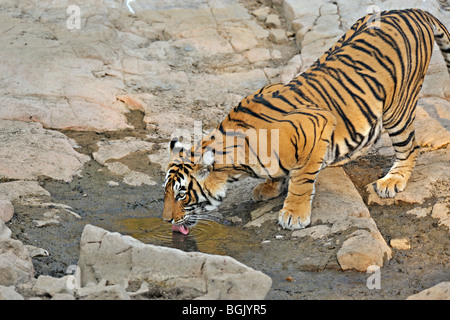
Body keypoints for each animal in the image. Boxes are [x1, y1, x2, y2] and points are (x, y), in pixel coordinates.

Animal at [162, 8, 450, 232]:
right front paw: (269, 187)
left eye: (181, 194)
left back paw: (392, 181)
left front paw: (293, 215)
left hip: (398, 108)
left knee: (409, 147)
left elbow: (301, 180)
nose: (166, 220)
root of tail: (411, 11)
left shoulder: (317, 124)